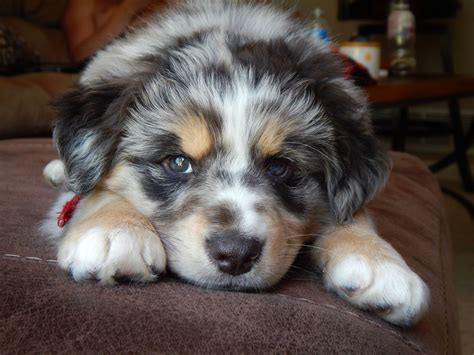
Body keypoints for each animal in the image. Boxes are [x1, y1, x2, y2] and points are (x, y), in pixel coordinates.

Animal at [42, 0, 430, 326]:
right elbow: (95, 190)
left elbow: (353, 210)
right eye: (178, 162)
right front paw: (114, 230)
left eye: (281, 167)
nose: (236, 255)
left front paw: (380, 262)